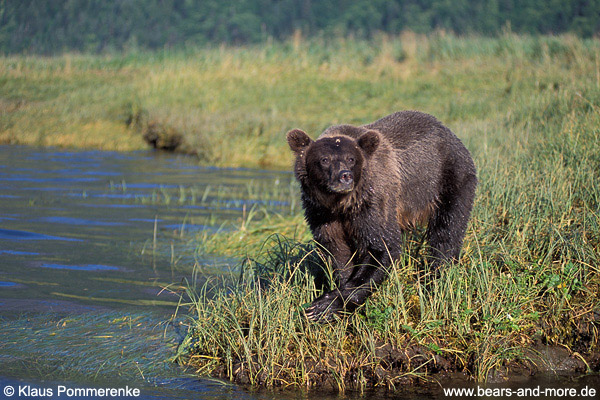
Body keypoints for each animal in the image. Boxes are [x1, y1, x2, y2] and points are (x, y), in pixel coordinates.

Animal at [286, 111, 478, 324]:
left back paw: (436, 278)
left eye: (351, 159)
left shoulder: (374, 202)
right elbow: (337, 250)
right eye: (324, 160)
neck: (342, 203)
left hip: (449, 179)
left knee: (447, 231)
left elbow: (382, 247)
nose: (344, 176)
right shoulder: (321, 213)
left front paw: (324, 306)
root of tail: (449, 133)